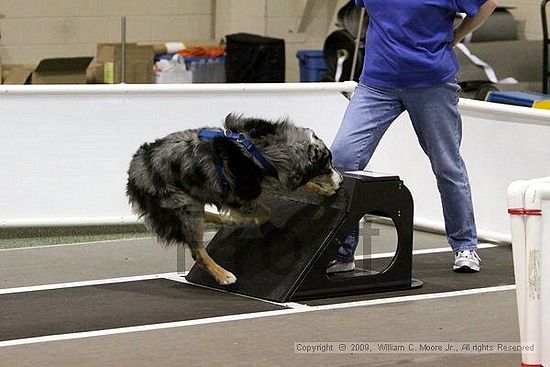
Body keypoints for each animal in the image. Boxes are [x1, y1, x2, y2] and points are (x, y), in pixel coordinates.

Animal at [128, 113, 344, 286]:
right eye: (326, 167)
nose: (341, 179)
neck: (263, 150)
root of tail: (134, 170)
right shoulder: (239, 196)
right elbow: (265, 212)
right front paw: (249, 220)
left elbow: (302, 185)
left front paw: (324, 190)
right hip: (182, 204)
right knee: (197, 251)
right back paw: (224, 275)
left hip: (191, 199)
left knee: (203, 216)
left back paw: (225, 220)